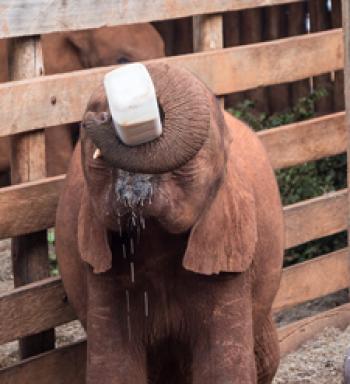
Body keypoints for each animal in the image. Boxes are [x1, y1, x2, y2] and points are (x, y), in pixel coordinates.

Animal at [55, 61, 284, 382]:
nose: (96, 117)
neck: (154, 231)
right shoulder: (101, 264)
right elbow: (113, 365)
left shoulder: (227, 252)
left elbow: (223, 366)